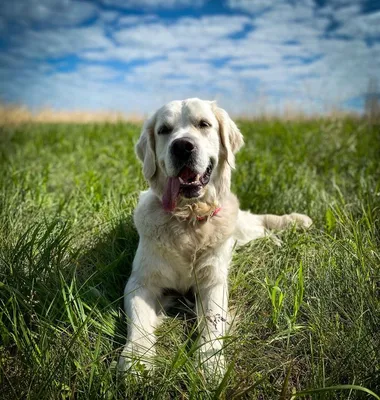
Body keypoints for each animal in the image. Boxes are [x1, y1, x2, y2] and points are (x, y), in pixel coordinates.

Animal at [118, 98, 312, 376]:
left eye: (204, 124)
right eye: (164, 130)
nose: (182, 146)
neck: (189, 218)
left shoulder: (213, 282)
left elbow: (213, 321)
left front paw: (210, 363)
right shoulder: (141, 281)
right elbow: (140, 323)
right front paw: (137, 360)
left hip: (243, 229)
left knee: (261, 223)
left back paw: (291, 227)